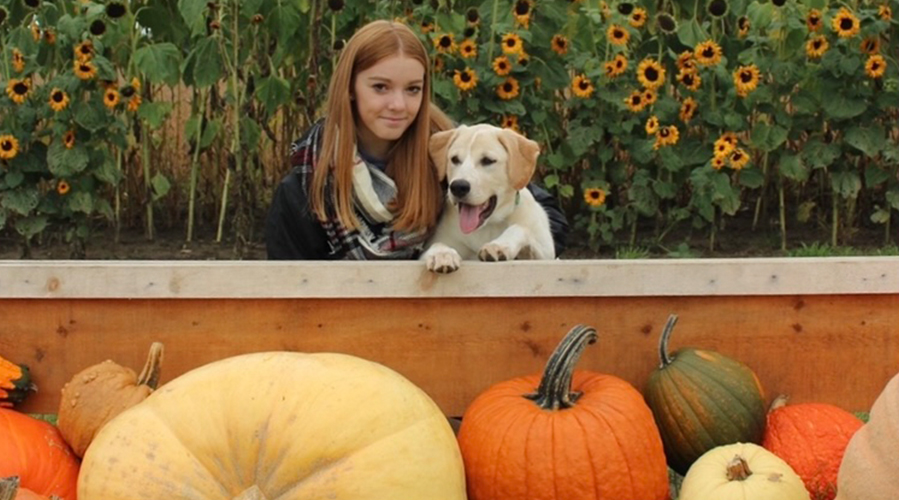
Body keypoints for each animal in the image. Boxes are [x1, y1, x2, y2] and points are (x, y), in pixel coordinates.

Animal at [422, 124, 556, 274]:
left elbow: (520, 228)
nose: (458, 187)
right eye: (454, 159)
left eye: (488, 161)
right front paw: (442, 254)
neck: (488, 226)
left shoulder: (545, 252)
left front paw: (498, 245)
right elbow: (437, 243)